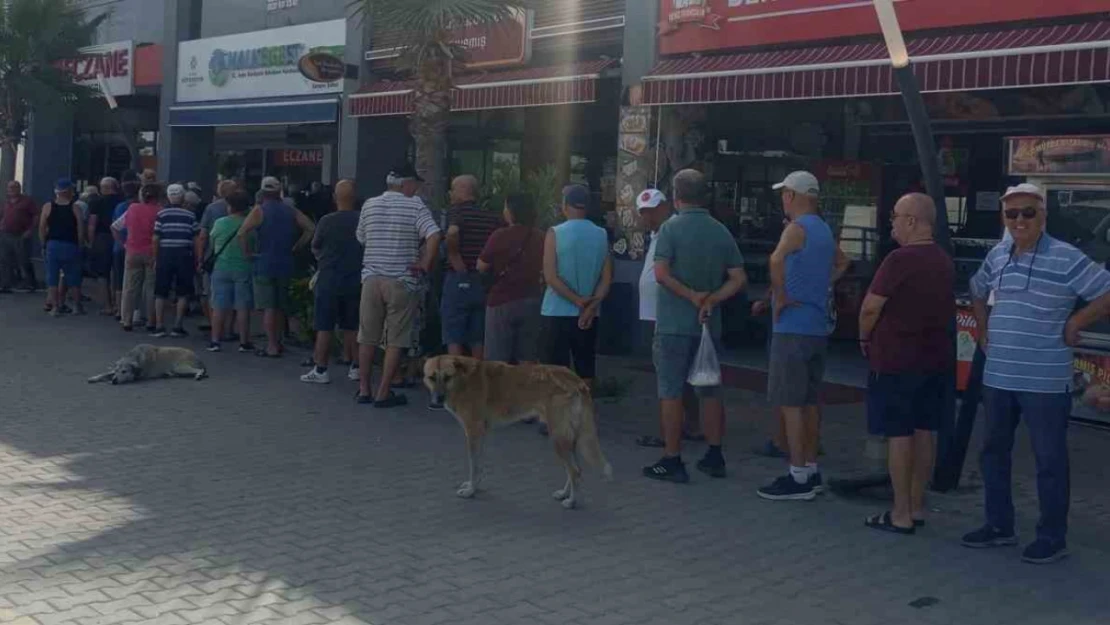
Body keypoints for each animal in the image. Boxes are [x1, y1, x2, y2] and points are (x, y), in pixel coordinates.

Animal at [424, 357, 617, 508]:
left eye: (447, 377)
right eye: (432, 377)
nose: (438, 399)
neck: (463, 379)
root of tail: (577, 380)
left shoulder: (473, 433)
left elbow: (474, 466)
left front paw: (471, 491)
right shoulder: (480, 435)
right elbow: (478, 465)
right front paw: (475, 486)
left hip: (558, 438)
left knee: (574, 471)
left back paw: (571, 502)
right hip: (568, 439)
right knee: (575, 470)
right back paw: (564, 494)